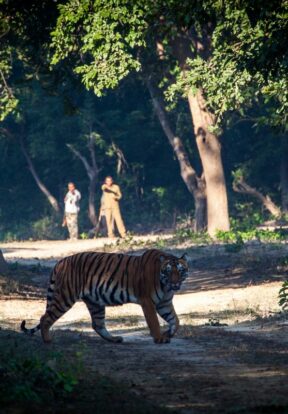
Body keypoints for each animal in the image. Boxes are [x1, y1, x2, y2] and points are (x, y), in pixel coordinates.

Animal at [22, 249, 189, 342]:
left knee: (97, 324)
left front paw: (169, 333)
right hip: (65, 297)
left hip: (95, 302)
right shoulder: (147, 302)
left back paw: (115, 339)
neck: (166, 286)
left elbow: (176, 320)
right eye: (168, 271)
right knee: (45, 318)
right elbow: (154, 322)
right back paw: (48, 340)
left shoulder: (164, 303)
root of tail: (60, 261)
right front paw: (160, 337)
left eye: (180, 271)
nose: (175, 283)